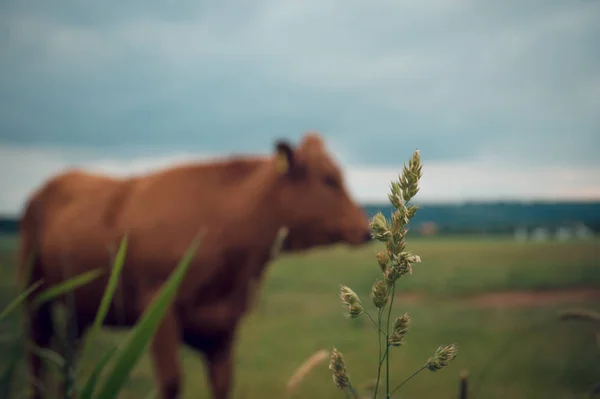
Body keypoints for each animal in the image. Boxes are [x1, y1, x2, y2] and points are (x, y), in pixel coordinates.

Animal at [17, 132, 370, 399]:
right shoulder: (159, 311)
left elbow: (223, 384)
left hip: (78, 308)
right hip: (35, 299)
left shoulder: (225, 324)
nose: (364, 229)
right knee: (35, 358)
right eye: (328, 180)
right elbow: (171, 383)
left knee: (69, 358)